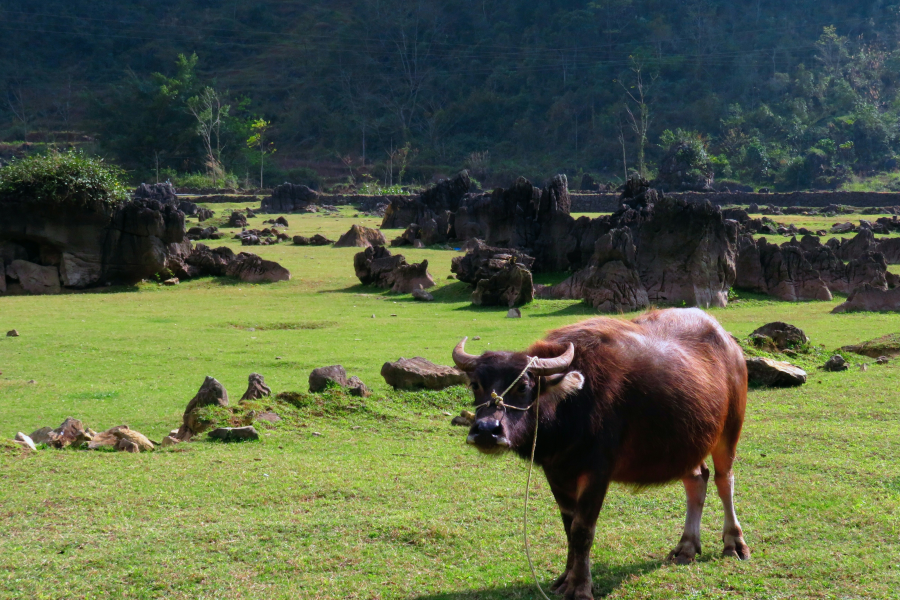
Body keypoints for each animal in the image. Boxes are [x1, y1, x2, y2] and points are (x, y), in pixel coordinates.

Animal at [454, 310, 748, 600]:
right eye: (475, 385)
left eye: (523, 386)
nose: (487, 431)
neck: (569, 407)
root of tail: (731, 346)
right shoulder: (556, 472)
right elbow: (569, 526)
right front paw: (565, 578)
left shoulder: (597, 473)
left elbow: (582, 530)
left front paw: (580, 587)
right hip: (687, 443)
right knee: (697, 480)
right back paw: (686, 547)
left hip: (729, 430)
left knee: (724, 480)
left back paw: (734, 543)